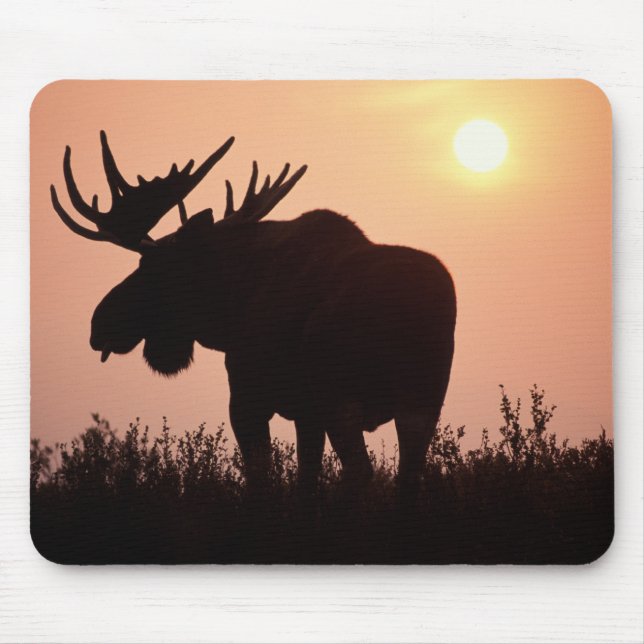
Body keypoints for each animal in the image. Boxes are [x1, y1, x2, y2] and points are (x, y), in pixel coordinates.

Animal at [51, 131, 456, 501]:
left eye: (150, 267)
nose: (99, 323)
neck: (228, 307)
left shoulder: (249, 398)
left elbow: (262, 481)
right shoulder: (305, 412)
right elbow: (306, 482)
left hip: (341, 393)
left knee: (361, 471)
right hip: (423, 396)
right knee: (408, 477)